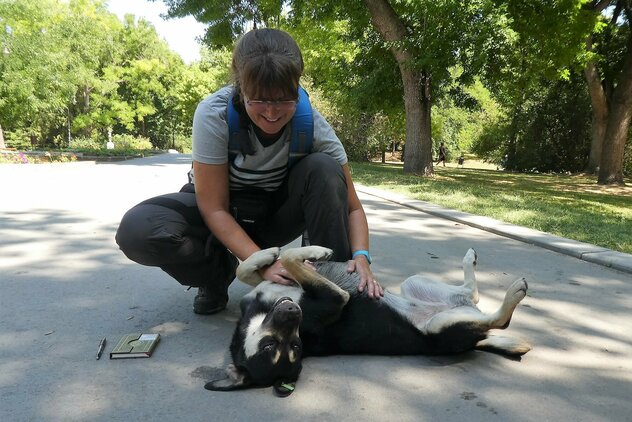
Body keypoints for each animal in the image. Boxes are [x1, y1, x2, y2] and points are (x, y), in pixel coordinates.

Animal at [205, 244, 532, 396]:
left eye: (294, 347)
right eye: (271, 347)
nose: (293, 313)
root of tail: (478, 340)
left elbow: (249, 269)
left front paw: (268, 255)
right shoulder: (335, 298)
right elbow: (283, 260)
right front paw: (313, 251)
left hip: (416, 283)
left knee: (472, 294)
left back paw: (471, 261)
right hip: (441, 327)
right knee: (497, 319)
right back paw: (513, 293)